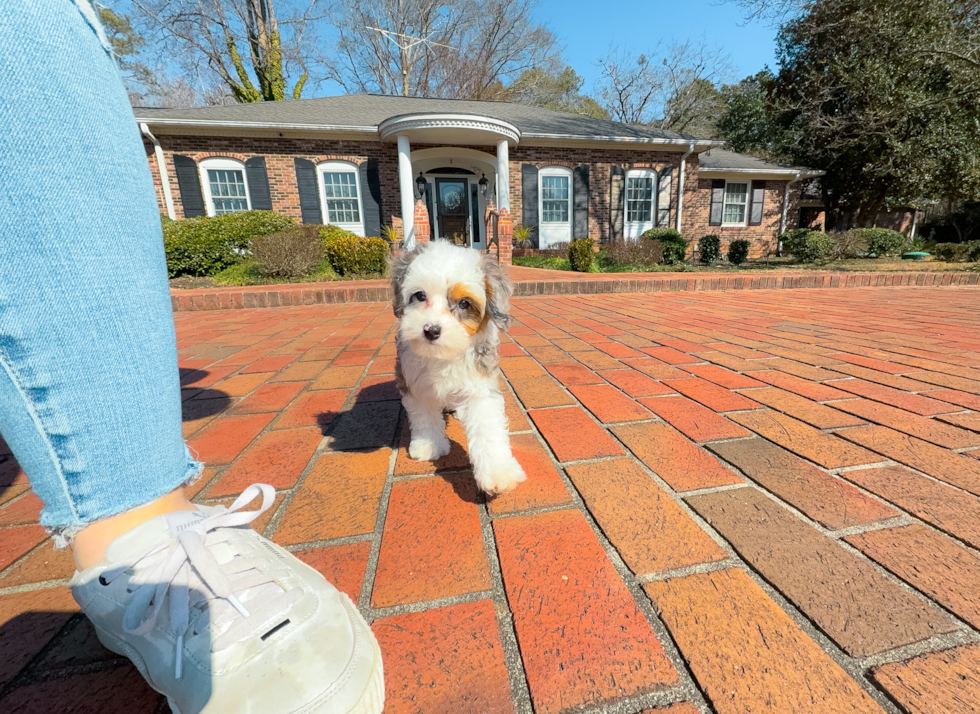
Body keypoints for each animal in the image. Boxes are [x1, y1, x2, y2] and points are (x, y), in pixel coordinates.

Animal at [390, 242, 528, 492]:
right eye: (419, 295)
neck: (444, 356)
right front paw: (429, 445)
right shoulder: (414, 382)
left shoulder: (480, 386)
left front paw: (499, 471)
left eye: (464, 303)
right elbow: (424, 416)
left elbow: (487, 427)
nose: (431, 330)